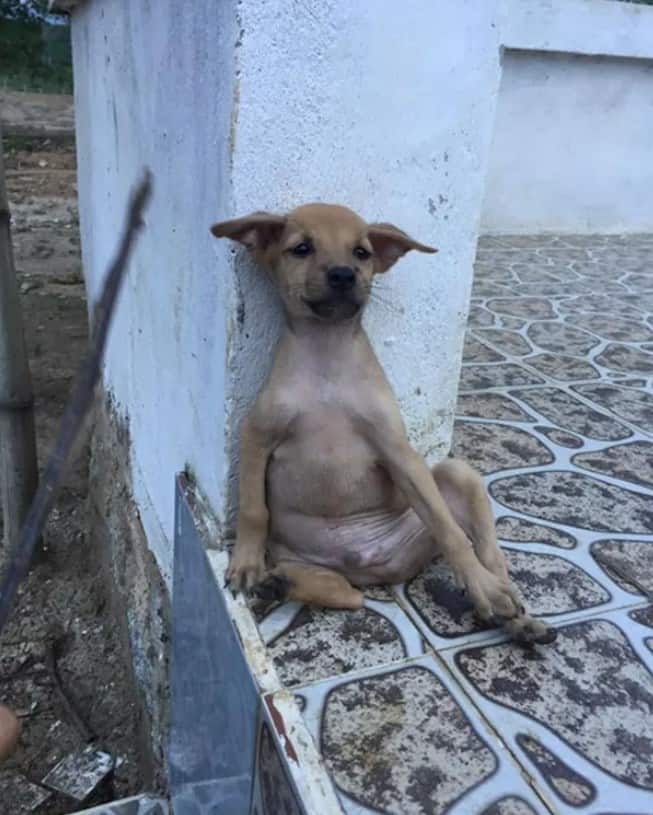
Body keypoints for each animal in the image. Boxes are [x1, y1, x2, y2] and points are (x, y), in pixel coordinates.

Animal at [213, 202, 556, 644]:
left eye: (361, 252)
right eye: (301, 248)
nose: (344, 275)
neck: (327, 361)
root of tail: (368, 566)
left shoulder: (396, 450)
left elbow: (449, 530)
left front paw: (485, 588)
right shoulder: (257, 435)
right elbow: (253, 510)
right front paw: (246, 563)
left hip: (456, 474)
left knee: (484, 551)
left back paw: (512, 610)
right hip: (304, 558)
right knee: (346, 595)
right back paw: (281, 582)